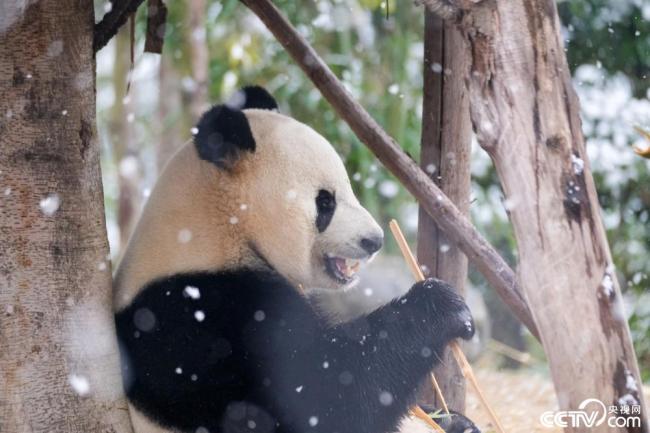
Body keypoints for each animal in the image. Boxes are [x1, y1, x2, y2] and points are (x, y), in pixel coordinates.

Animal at [112, 85, 476, 432]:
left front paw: (456, 419)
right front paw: (443, 306)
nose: (374, 240)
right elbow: (322, 396)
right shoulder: (202, 316)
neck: (214, 230)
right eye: (325, 202)